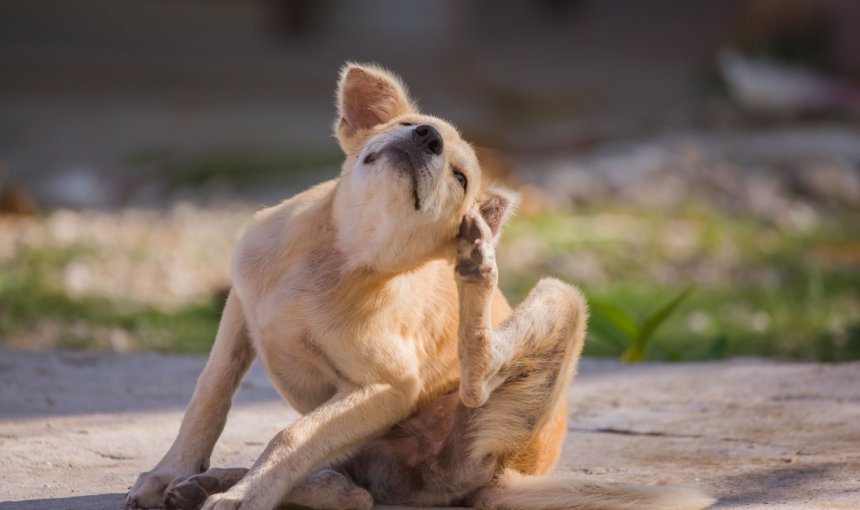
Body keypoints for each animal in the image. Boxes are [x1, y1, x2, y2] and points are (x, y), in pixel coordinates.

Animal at [124, 63, 716, 510]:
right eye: (412, 123)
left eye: (460, 177)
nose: (425, 137)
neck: (338, 257)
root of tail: (506, 478)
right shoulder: (239, 311)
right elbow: (209, 395)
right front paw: (170, 471)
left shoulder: (388, 387)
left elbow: (292, 436)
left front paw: (246, 496)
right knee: (349, 489)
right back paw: (213, 481)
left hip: (553, 312)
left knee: (463, 392)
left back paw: (477, 268)